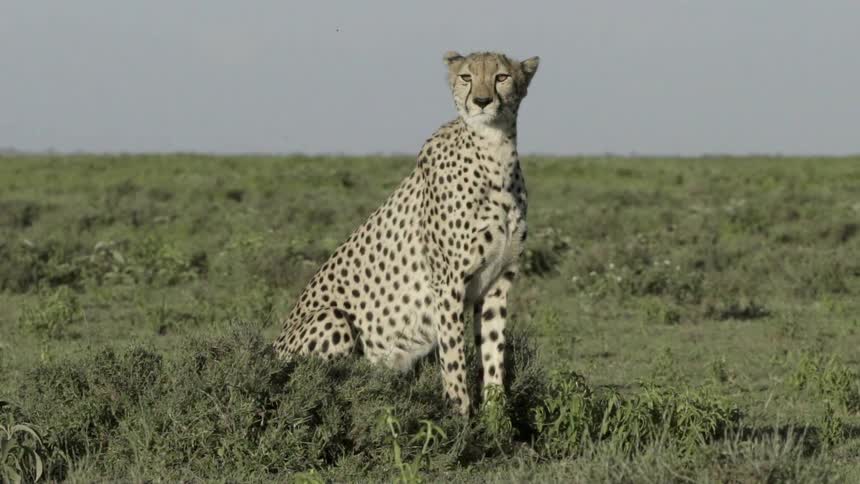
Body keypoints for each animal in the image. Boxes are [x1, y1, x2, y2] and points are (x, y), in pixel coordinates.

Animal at [274, 51, 540, 415]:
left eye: (501, 77)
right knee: (325, 381)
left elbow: (493, 355)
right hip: (334, 318)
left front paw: (496, 418)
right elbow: (454, 358)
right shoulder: (448, 283)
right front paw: (459, 417)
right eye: (467, 77)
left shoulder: (498, 282)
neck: (495, 153)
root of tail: (271, 352)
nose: (482, 101)